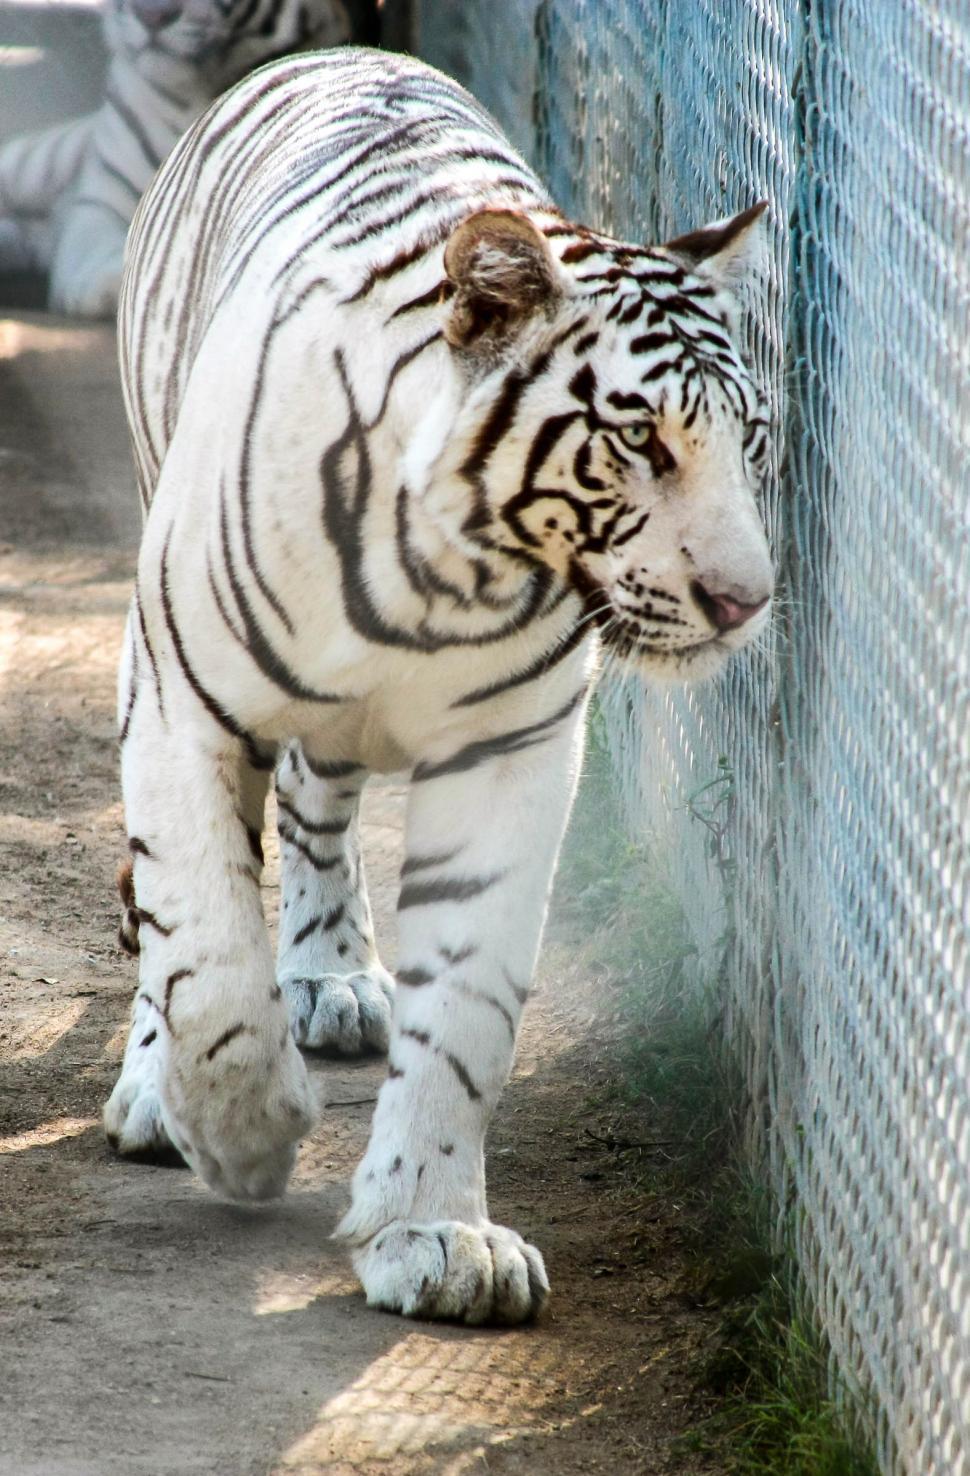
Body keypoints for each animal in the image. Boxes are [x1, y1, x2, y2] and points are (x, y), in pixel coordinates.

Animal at [106, 46, 774, 1325]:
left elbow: (466, 1011)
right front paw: (245, 1134)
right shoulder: (182, 709)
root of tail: (344, 50)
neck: (441, 579)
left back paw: (328, 977)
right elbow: (206, 961)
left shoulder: (513, 756)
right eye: (641, 443)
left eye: (750, 441)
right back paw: (161, 1090)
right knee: (170, 909)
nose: (747, 599)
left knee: (318, 811)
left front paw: (435, 1234)